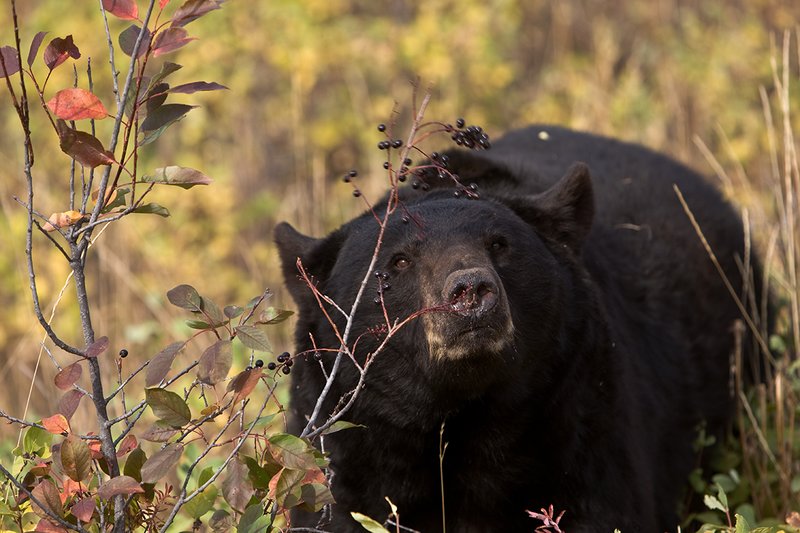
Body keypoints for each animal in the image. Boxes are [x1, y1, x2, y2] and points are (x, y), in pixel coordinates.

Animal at [274, 125, 760, 532]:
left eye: (499, 244)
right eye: (398, 261)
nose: (471, 291)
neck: (462, 419)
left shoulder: (582, 430)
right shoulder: (350, 454)